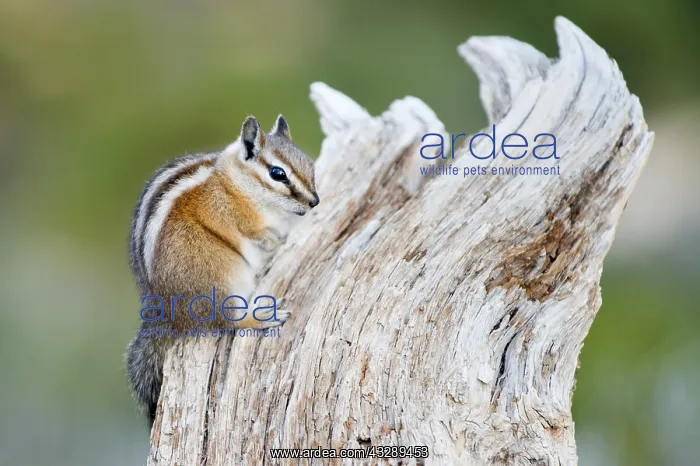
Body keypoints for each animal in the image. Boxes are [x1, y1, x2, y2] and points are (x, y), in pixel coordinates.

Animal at [125, 115, 319, 427]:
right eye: (277, 174)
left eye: (310, 165)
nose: (315, 202)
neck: (236, 181)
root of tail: (166, 314)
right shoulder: (240, 217)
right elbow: (256, 233)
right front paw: (277, 241)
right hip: (222, 274)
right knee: (230, 321)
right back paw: (262, 316)